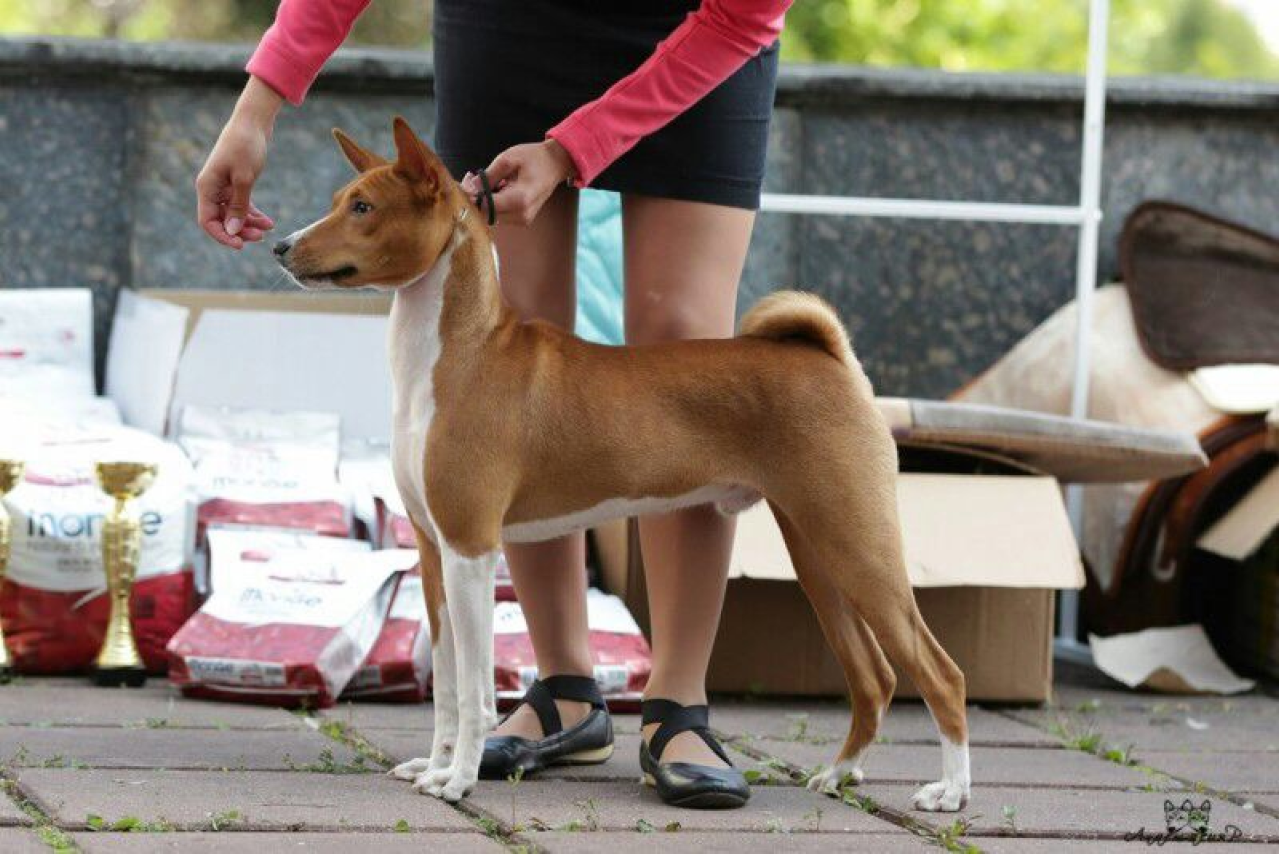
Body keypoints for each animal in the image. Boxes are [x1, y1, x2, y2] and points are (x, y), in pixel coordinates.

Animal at [272, 118, 966, 807]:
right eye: (338, 200)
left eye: (363, 207)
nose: (280, 246)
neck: (458, 354)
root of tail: (831, 357)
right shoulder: (432, 547)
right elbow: (445, 685)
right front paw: (435, 765)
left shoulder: (470, 548)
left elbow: (472, 691)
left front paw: (461, 779)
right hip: (819, 552)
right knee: (875, 675)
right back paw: (840, 774)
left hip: (857, 543)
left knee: (939, 671)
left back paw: (950, 792)